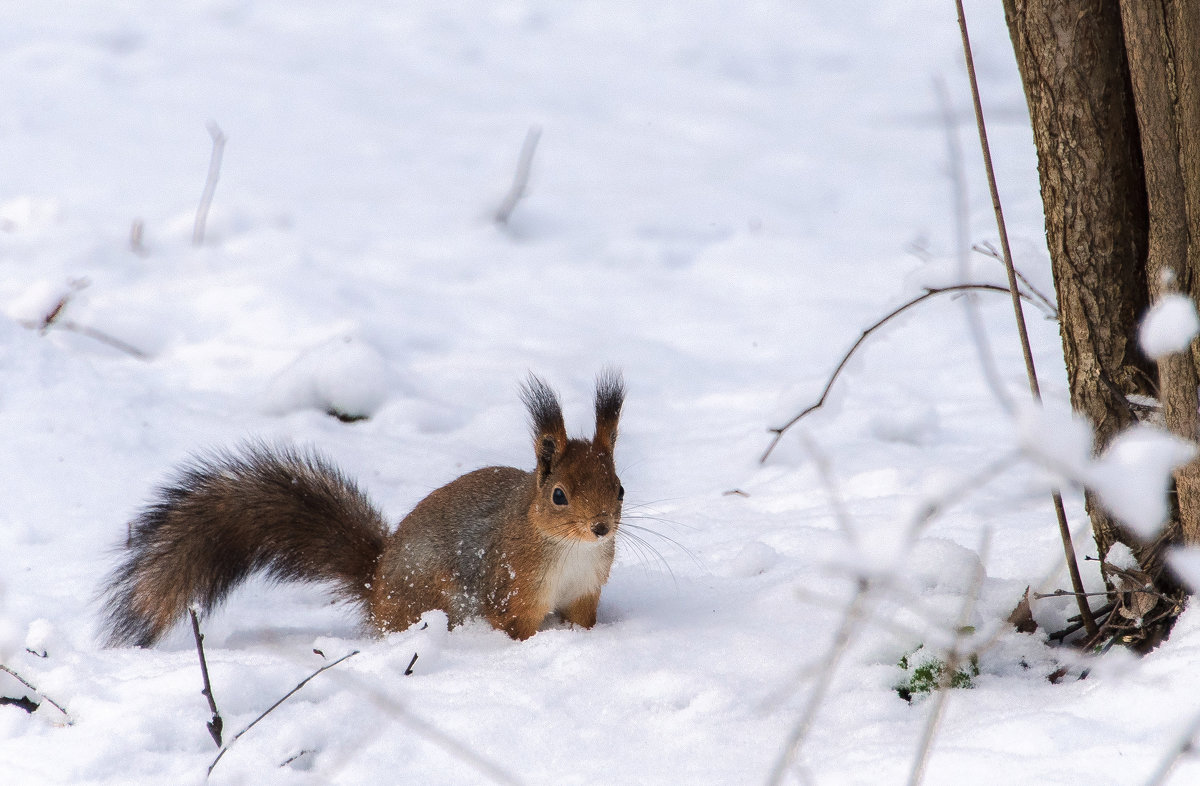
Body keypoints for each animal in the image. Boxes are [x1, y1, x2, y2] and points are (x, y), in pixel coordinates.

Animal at [100, 372, 628, 643]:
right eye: (558, 495)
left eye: (620, 489)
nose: (601, 527)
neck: (569, 549)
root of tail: (375, 585)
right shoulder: (512, 588)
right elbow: (515, 627)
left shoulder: (585, 592)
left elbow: (582, 619)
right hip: (427, 598)